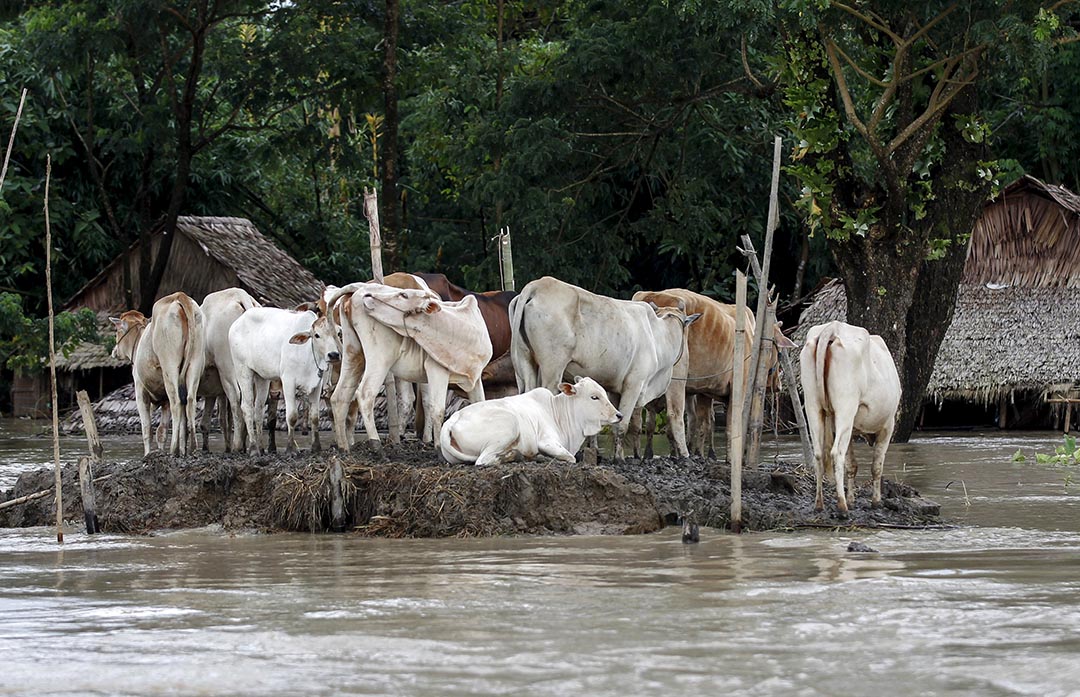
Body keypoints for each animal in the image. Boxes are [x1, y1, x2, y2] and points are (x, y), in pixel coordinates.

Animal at [111, 289, 206, 456]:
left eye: (116, 330)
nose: (114, 351)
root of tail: (179, 296)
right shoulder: (164, 400)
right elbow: (162, 431)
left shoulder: (140, 391)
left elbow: (147, 429)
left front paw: (147, 454)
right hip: (195, 361)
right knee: (190, 401)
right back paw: (191, 448)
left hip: (170, 366)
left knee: (177, 403)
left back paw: (174, 449)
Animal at [228, 306, 341, 453]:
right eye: (316, 335)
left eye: (338, 333)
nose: (333, 355)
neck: (308, 354)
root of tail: (238, 321)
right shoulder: (288, 381)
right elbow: (292, 416)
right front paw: (291, 448)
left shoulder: (317, 385)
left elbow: (315, 417)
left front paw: (316, 447)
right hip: (242, 370)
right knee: (247, 407)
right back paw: (253, 448)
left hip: (262, 377)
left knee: (258, 408)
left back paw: (261, 448)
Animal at [440, 376, 626, 462]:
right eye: (594, 397)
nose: (619, 415)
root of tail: (451, 421)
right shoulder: (546, 441)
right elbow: (570, 458)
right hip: (511, 424)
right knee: (483, 460)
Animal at [507, 274, 699, 460]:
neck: (657, 336)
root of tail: (538, 285)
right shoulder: (634, 384)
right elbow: (622, 425)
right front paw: (619, 459)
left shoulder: (614, 389)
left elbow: (611, 421)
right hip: (552, 367)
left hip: (526, 361)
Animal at [803, 319, 902, 510]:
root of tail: (832, 328)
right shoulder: (888, 425)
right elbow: (876, 466)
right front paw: (875, 501)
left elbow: (852, 466)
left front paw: (852, 499)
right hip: (845, 407)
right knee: (836, 453)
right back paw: (842, 506)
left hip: (813, 405)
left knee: (818, 454)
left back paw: (819, 504)